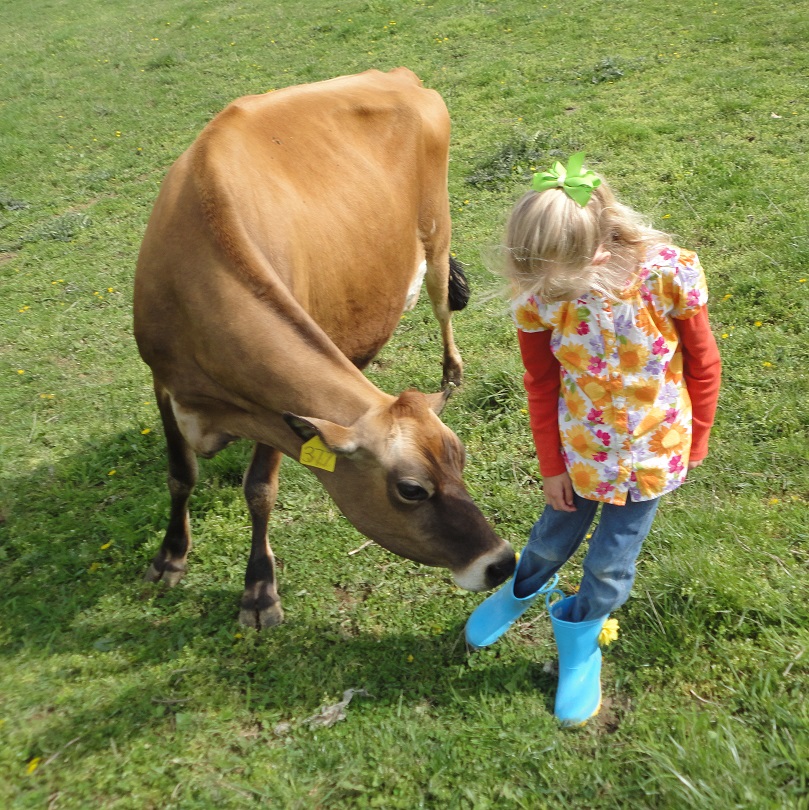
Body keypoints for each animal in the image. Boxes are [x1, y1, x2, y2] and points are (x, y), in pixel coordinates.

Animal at [133, 68, 515, 629]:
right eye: (411, 489)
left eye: (460, 459)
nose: (501, 561)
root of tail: (398, 75)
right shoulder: (162, 378)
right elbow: (181, 474)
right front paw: (169, 556)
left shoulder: (274, 409)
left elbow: (258, 489)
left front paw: (259, 589)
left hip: (436, 232)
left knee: (443, 306)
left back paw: (452, 372)